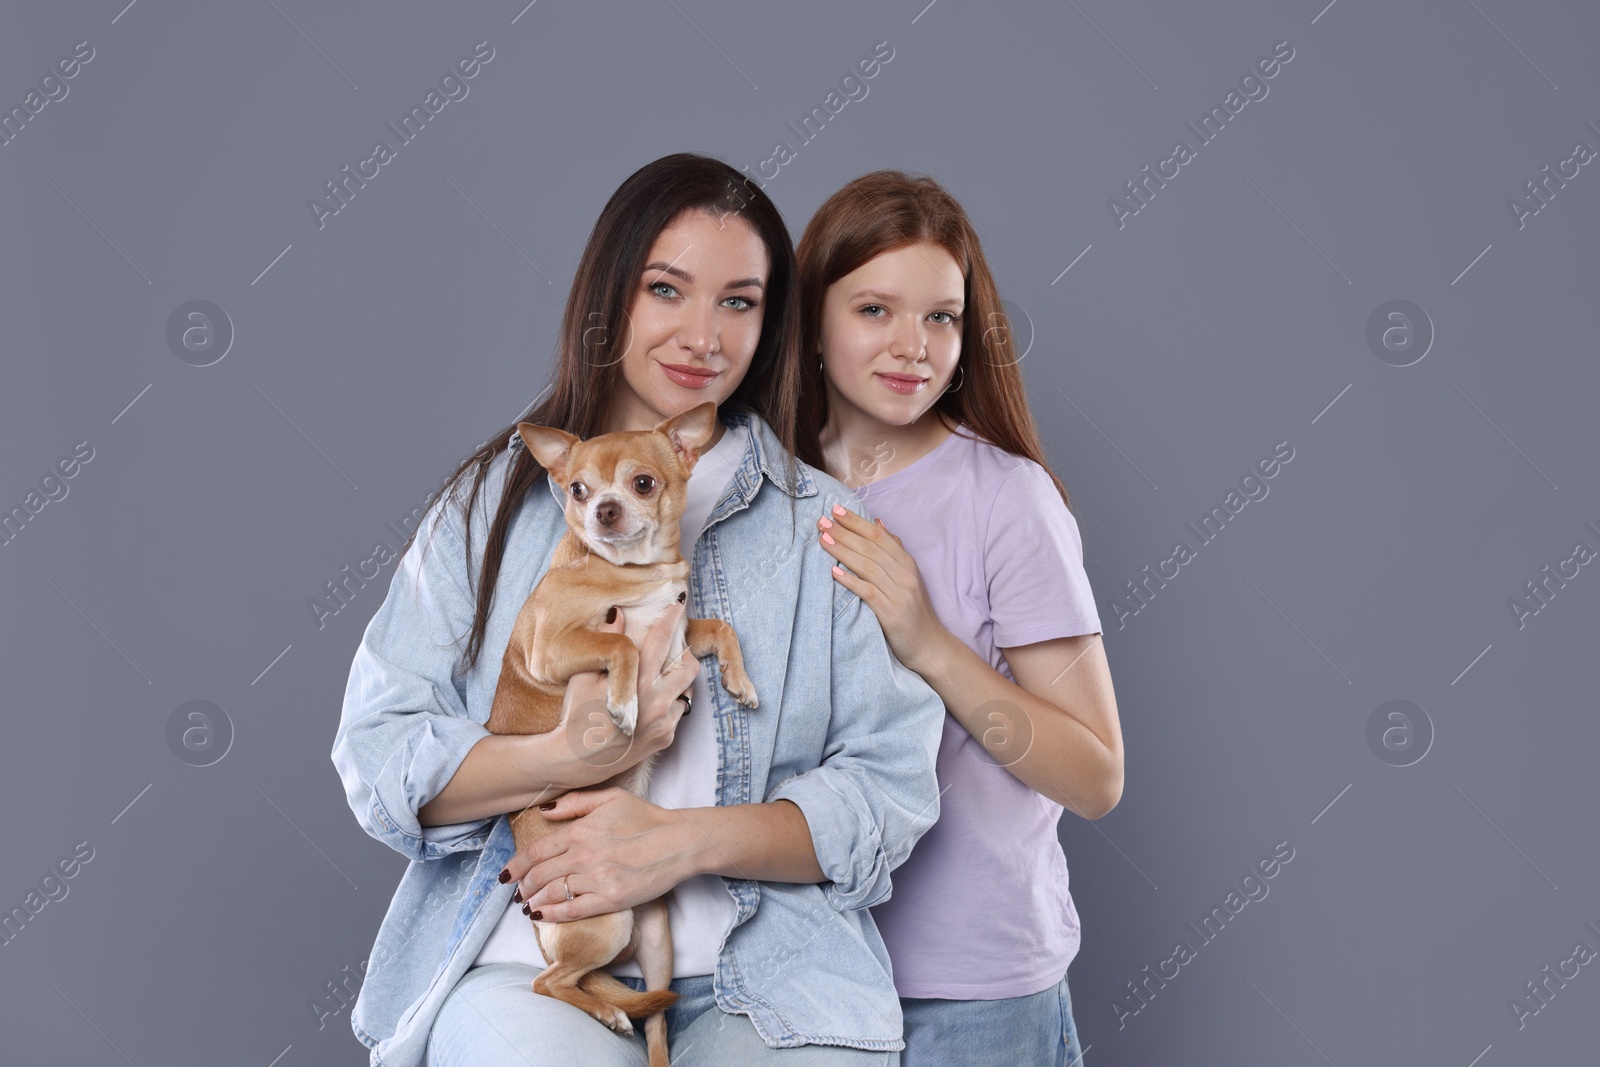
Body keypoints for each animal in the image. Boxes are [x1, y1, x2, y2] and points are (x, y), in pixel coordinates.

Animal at [483, 396, 758, 1062]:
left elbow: (720, 628)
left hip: (655, 941)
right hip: (604, 929)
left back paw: (633, 1027)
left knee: (652, 1013)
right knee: (551, 984)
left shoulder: (680, 634)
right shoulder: (556, 650)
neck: (633, 573)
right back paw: (606, 1013)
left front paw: (740, 682)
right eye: (577, 490)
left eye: (643, 483)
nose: (603, 509)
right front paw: (625, 707)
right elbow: (619, 643)